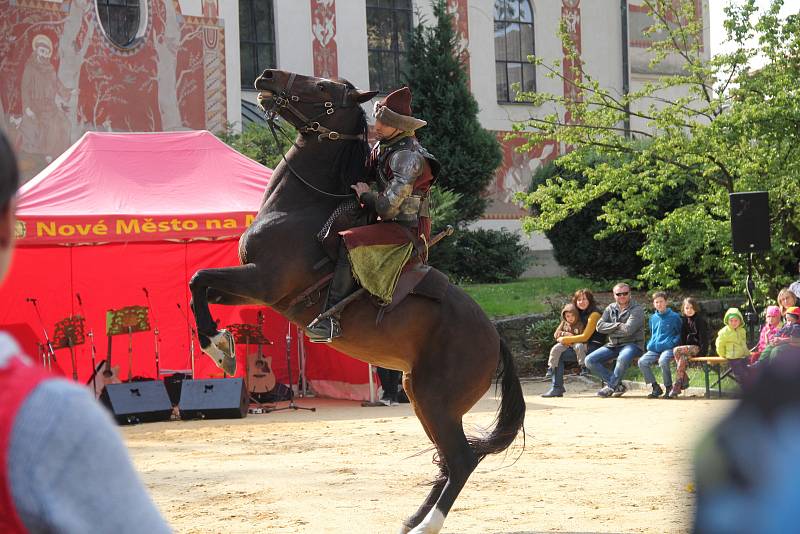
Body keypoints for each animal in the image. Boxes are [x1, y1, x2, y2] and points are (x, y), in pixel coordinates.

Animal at [188, 71, 524, 534]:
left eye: (323, 88)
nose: (267, 76)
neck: (302, 208)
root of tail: (493, 337)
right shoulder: (251, 287)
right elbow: (198, 287)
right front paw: (220, 344)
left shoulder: (263, 282)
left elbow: (198, 279)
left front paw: (219, 348)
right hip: (420, 396)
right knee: (449, 461)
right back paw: (413, 519)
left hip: (436, 400)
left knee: (460, 460)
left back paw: (426, 524)